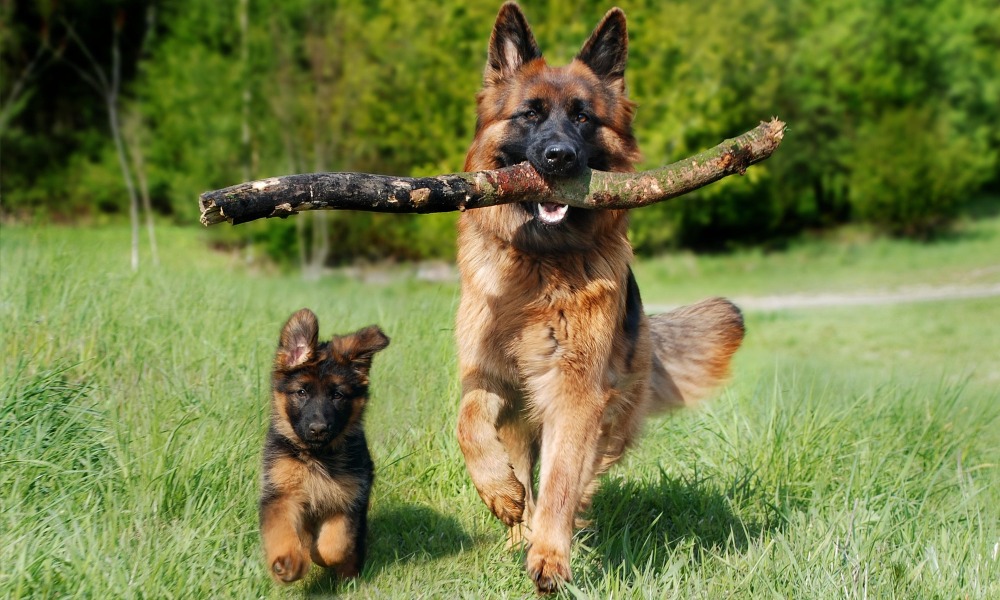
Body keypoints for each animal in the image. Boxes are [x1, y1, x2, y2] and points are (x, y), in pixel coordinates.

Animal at [260, 312, 388, 584]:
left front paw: (319, 555)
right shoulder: (281, 494)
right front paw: (289, 563)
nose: (318, 429)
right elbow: (283, 532)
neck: (316, 456)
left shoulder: (349, 498)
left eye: (337, 395)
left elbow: (335, 544)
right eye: (301, 392)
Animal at [458, 2, 748, 592]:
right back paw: (517, 523)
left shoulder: (576, 392)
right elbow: (468, 423)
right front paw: (499, 493)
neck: (540, 264)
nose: (558, 157)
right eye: (529, 114)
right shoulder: (488, 374)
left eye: (583, 118)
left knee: (580, 474)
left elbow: (562, 479)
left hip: (609, 412)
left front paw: (550, 555)